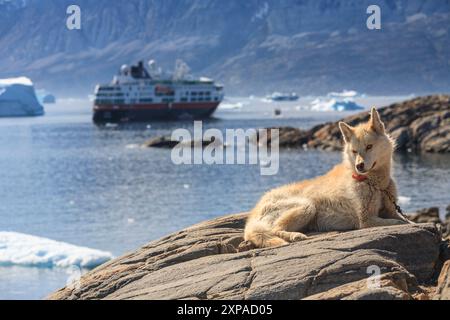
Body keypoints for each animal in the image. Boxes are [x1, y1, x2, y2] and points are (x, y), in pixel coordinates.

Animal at [243, 107, 412, 248]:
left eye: (369, 146)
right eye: (354, 151)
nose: (359, 166)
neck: (376, 183)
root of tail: (254, 213)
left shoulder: (390, 210)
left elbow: (406, 220)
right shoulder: (366, 219)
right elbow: (399, 223)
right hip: (307, 206)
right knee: (275, 230)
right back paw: (295, 236)